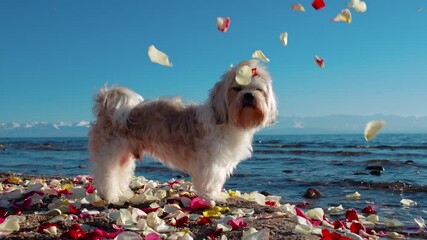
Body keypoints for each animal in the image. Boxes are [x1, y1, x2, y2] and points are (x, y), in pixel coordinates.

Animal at [88, 59, 280, 204]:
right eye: (237, 88)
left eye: (258, 90)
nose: (249, 95)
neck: (231, 122)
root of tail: (106, 106)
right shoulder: (211, 162)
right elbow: (211, 180)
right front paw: (212, 197)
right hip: (110, 152)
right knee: (107, 175)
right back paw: (110, 196)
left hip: (124, 156)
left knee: (119, 174)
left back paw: (121, 193)